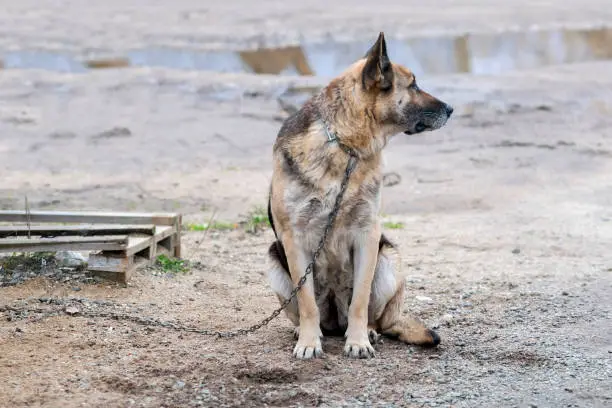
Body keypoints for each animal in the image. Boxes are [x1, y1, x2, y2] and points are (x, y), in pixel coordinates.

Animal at [266, 32, 452, 360]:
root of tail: (334, 322)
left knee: (378, 317)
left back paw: (369, 331)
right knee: (309, 311)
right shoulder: (294, 239)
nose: (451, 109)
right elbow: (308, 303)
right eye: (413, 85)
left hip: (388, 257)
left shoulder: (368, 235)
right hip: (275, 261)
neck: (345, 145)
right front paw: (309, 342)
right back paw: (305, 331)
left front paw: (358, 341)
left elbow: (360, 301)